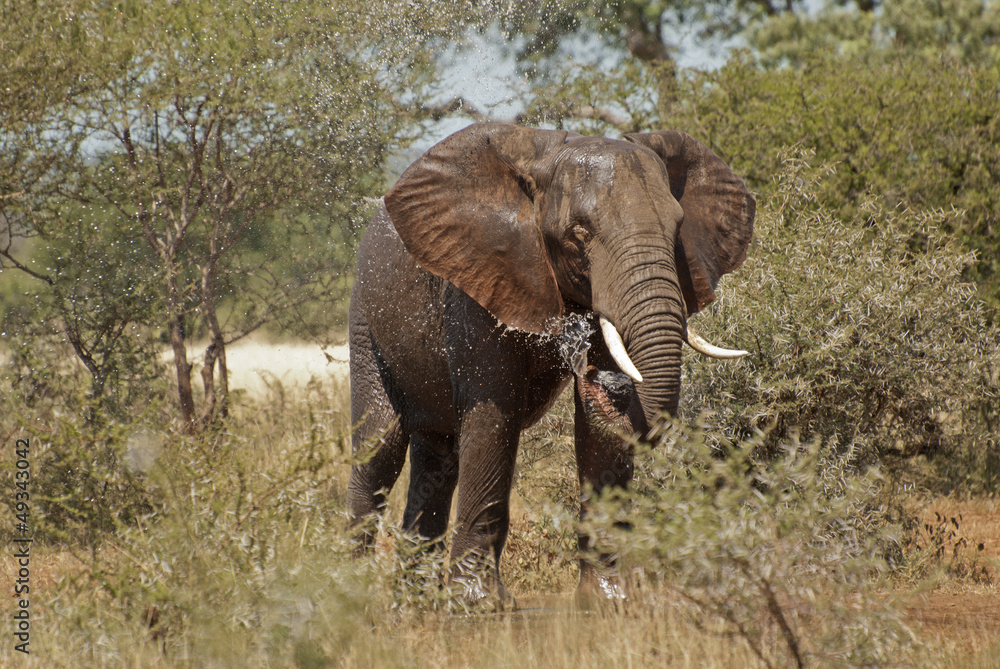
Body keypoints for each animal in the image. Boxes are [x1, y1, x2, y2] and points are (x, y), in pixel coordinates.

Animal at [347, 122, 755, 605]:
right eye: (579, 233)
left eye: (678, 229)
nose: (605, 380)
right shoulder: (475, 283)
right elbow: (495, 415)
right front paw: (481, 606)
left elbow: (595, 435)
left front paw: (609, 602)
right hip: (365, 319)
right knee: (379, 447)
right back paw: (347, 587)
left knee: (437, 456)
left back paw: (416, 600)